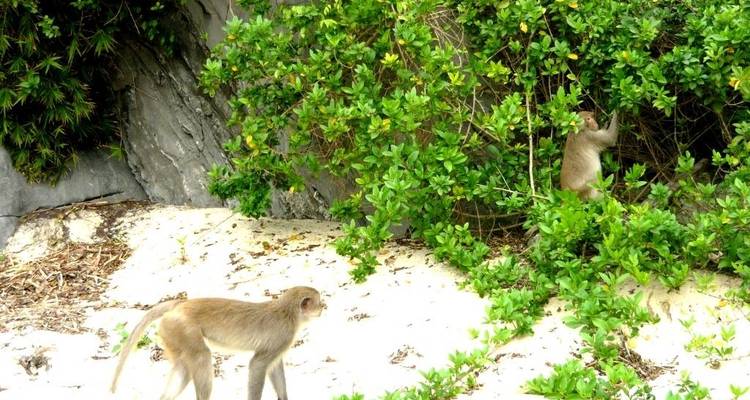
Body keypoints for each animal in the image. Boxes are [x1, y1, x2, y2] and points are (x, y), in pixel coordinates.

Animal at [111, 286, 324, 400]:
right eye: (318, 302)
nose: (323, 307)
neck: (288, 313)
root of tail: (180, 304)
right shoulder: (283, 335)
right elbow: (258, 364)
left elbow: (275, 366)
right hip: (183, 328)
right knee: (201, 358)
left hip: (172, 333)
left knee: (184, 369)